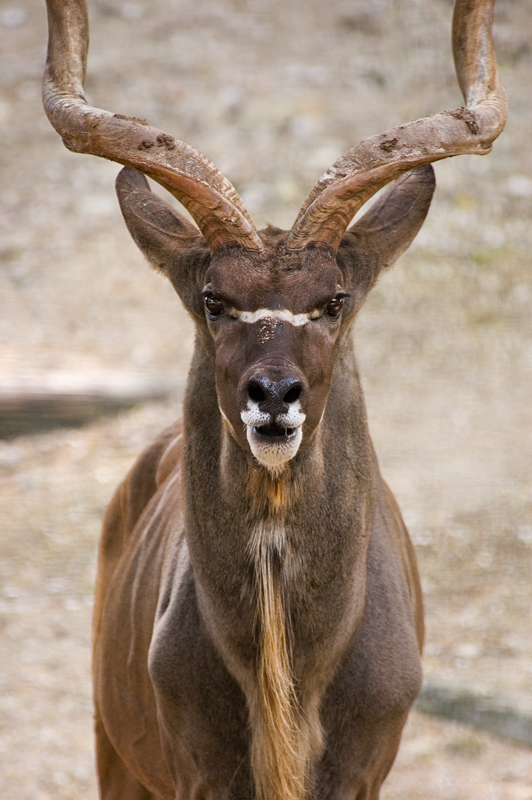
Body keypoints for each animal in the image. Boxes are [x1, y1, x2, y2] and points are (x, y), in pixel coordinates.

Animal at [42, 1, 508, 800]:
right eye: (214, 301)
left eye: (334, 302)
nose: (274, 397)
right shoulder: (195, 773)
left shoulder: (362, 773)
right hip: (115, 751)